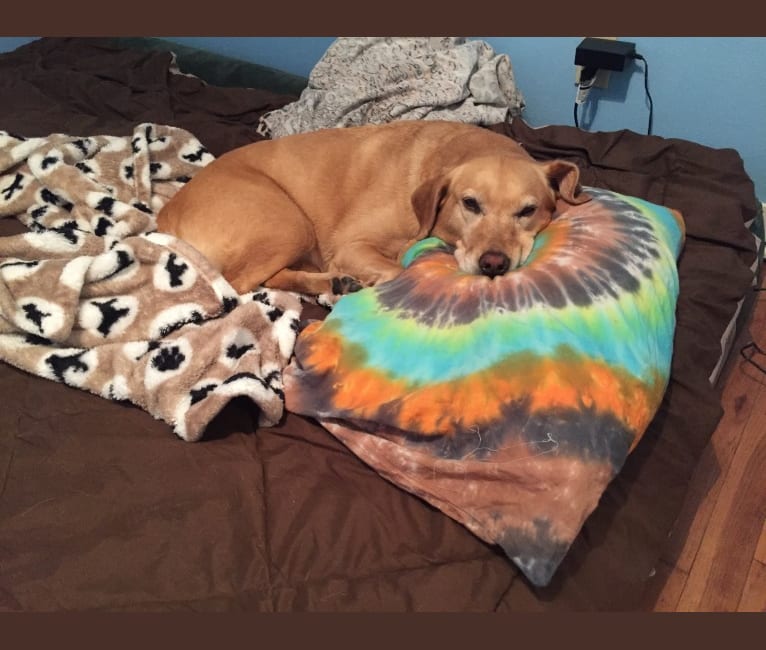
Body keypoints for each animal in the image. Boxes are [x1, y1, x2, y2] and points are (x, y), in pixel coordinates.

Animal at [154, 119, 588, 296]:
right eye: (470, 203)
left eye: (528, 211)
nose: (493, 264)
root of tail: (165, 214)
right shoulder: (352, 246)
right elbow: (399, 269)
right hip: (289, 222)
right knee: (240, 284)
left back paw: (332, 284)